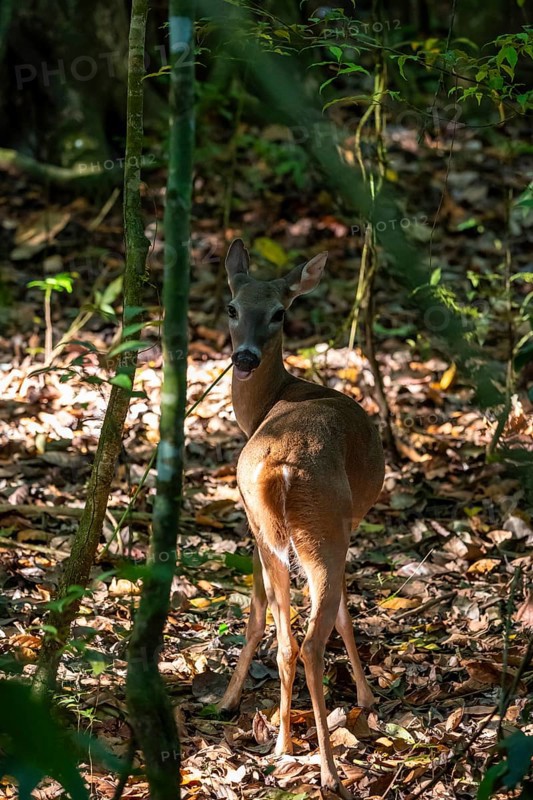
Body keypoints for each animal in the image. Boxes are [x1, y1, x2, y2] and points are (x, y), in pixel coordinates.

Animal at [217, 239, 385, 798]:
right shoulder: (349, 526)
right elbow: (347, 615)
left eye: (279, 312)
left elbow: (257, 610)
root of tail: (281, 467)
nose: (245, 356)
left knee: (287, 638)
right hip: (323, 530)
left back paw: (284, 743)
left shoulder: (252, 526)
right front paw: (367, 696)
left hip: (268, 530)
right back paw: (329, 769)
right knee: (311, 639)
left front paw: (228, 700)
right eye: (231, 308)